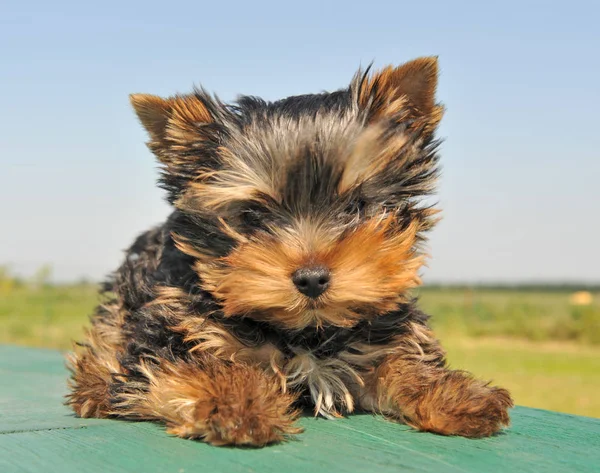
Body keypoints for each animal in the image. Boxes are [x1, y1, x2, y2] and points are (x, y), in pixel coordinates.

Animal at [69, 57, 510, 444]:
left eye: (355, 207)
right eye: (252, 215)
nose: (312, 278)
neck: (306, 331)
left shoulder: (380, 333)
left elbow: (400, 359)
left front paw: (453, 393)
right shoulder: (173, 326)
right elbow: (197, 363)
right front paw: (236, 401)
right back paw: (95, 386)